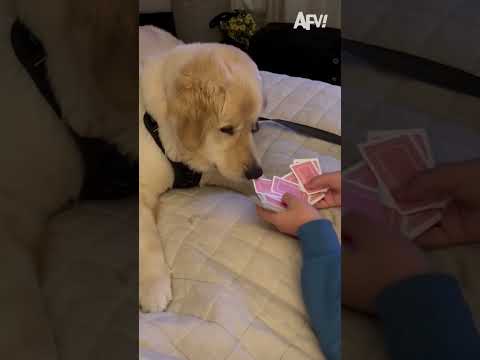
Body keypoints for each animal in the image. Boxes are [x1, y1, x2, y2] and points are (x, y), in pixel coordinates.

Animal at [139, 26, 264, 312]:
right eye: (226, 129)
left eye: (255, 127)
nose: (256, 171)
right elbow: (145, 237)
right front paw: (153, 285)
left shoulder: (213, 169)